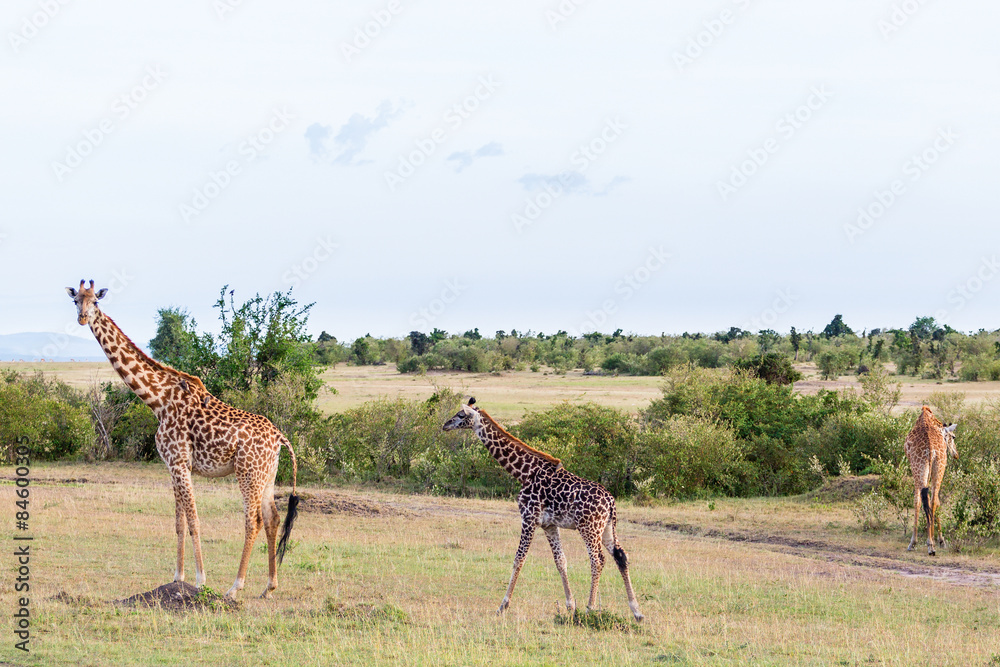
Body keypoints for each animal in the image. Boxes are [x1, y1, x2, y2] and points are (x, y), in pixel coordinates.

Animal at [66, 280, 300, 598]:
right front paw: (177, 578)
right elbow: (179, 523)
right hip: (267, 474)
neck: (157, 400)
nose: (82, 317)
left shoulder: (179, 462)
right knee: (273, 518)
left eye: (96, 302)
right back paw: (269, 586)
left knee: (253, 521)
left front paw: (201, 580)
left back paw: (235, 587)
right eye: (76, 300)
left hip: (247, 473)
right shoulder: (173, 466)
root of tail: (279, 437)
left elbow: (194, 521)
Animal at [442, 398, 644, 621]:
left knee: (598, 560)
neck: (525, 473)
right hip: (607, 528)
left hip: (589, 528)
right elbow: (560, 561)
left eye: (461, 415)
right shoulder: (549, 525)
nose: (445, 425)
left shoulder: (528, 518)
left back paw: (590, 609)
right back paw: (636, 611)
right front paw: (570, 606)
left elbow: (519, 559)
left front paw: (502, 606)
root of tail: (610, 501)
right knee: (621, 557)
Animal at [904, 406, 958, 555]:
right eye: (953, 437)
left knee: (924, 501)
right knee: (933, 500)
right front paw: (940, 540)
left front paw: (914, 542)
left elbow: (917, 502)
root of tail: (931, 448)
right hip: (939, 467)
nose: (956, 454)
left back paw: (928, 544)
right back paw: (932, 544)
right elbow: (934, 502)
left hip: (919, 469)